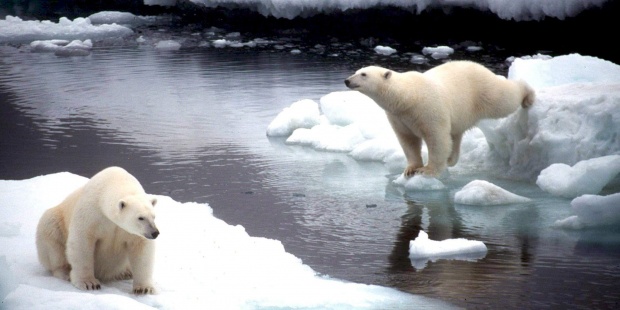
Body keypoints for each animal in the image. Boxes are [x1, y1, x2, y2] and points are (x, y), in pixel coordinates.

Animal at [35, 166, 160, 294]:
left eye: (153, 216)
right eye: (141, 218)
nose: (155, 233)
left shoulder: (131, 232)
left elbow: (141, 249)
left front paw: (144, 288)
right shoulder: (91, 213)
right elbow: (82, 242)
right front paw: (88, 283)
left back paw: (125, 272)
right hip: (55, 222)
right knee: (52, 239)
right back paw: (64, 272)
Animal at [346, 60, 536, 177]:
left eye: (363, 74)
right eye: (357, 71)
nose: (347, 80)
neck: (408, 97)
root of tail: (481, 67)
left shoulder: (428, 109)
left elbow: (436, 138)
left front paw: (427, 170)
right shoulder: (398, 116)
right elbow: (408, 140)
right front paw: (410, 169)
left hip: (482, 91)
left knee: (503, 99)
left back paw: (528, 95)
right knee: (456, 134)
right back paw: (451, 160)